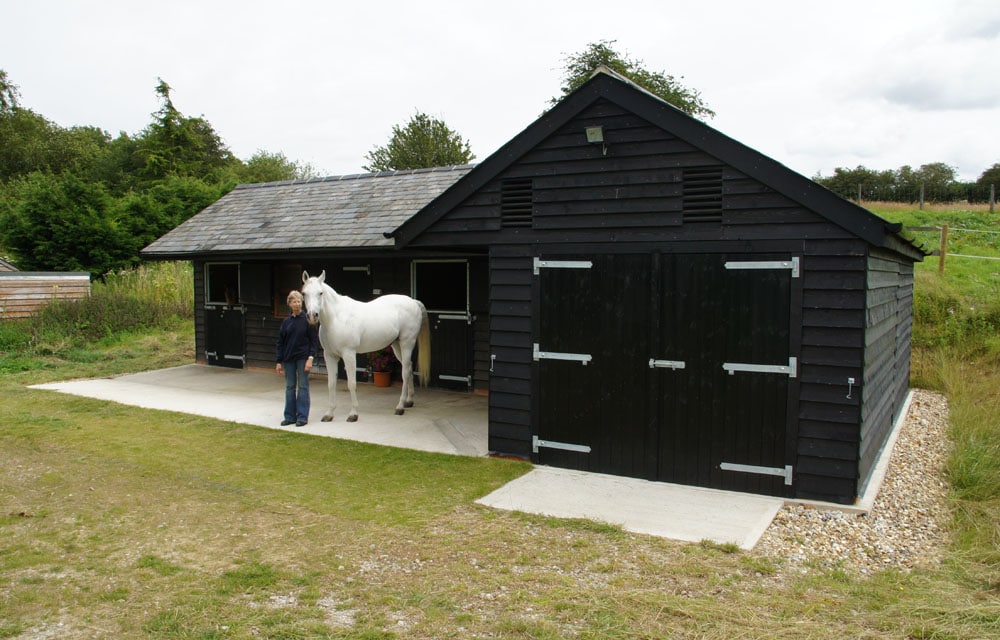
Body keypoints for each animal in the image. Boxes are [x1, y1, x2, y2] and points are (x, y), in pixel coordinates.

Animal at [302, 268, 432, 422]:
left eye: (320, 293)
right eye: (304, 293)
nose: (312, 316)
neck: (336, 318)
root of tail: (413, 302)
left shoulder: (349, 354)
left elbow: (352, 384)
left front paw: (353, 414)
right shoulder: (329, 355)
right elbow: (331, 384)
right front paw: (329, 414)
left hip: (407, 343)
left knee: (405, 372)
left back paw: (400, 407)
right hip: (397, 345)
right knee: (409, 367)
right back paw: (409, 401)